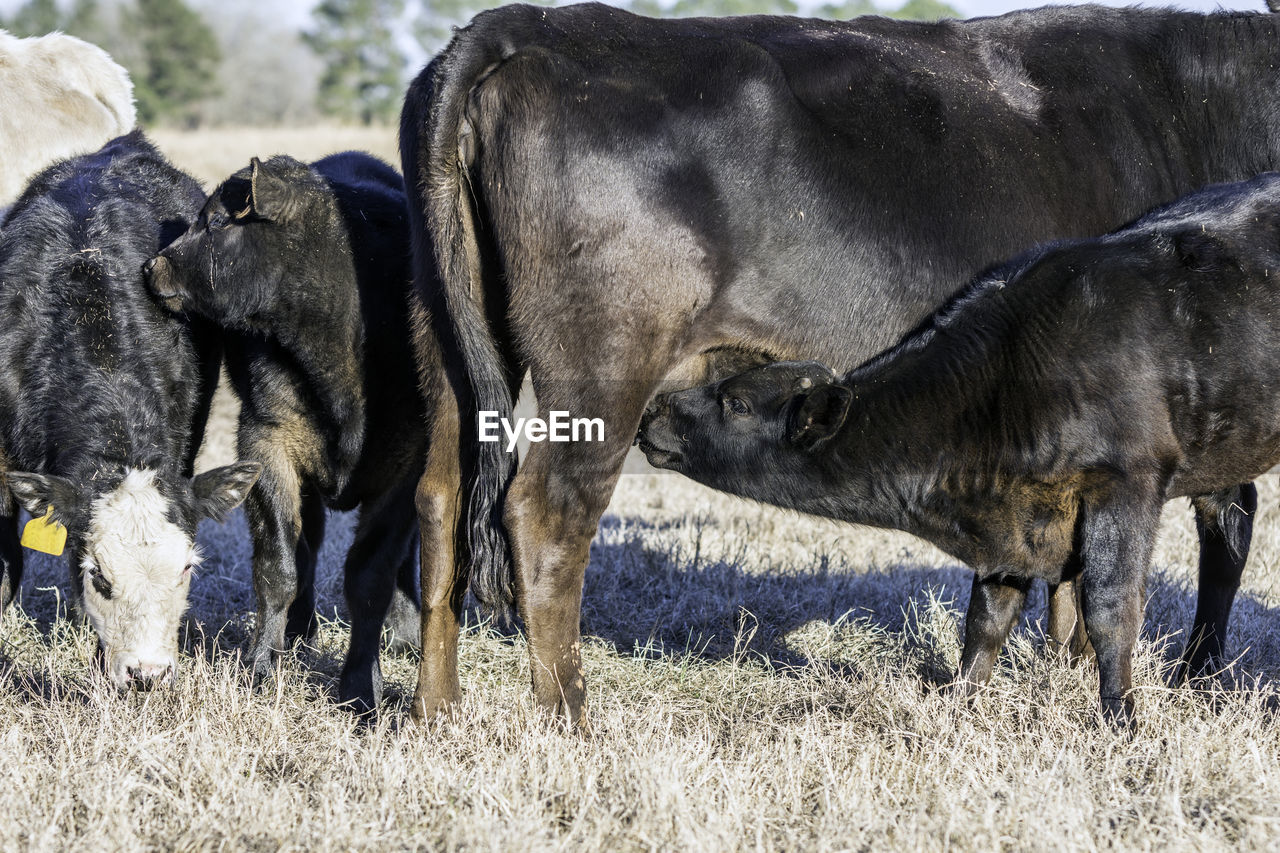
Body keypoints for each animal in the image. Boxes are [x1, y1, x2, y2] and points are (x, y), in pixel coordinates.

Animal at [640, 174, 1280, 722]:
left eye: (737, 401)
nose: (654, 412)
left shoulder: (1127, 483)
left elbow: (1111, 609)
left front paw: (1120, 717)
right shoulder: (1011, 523)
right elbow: (986, 620)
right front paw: (959, 702)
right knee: (1229, 525)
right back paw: (1196, 676)